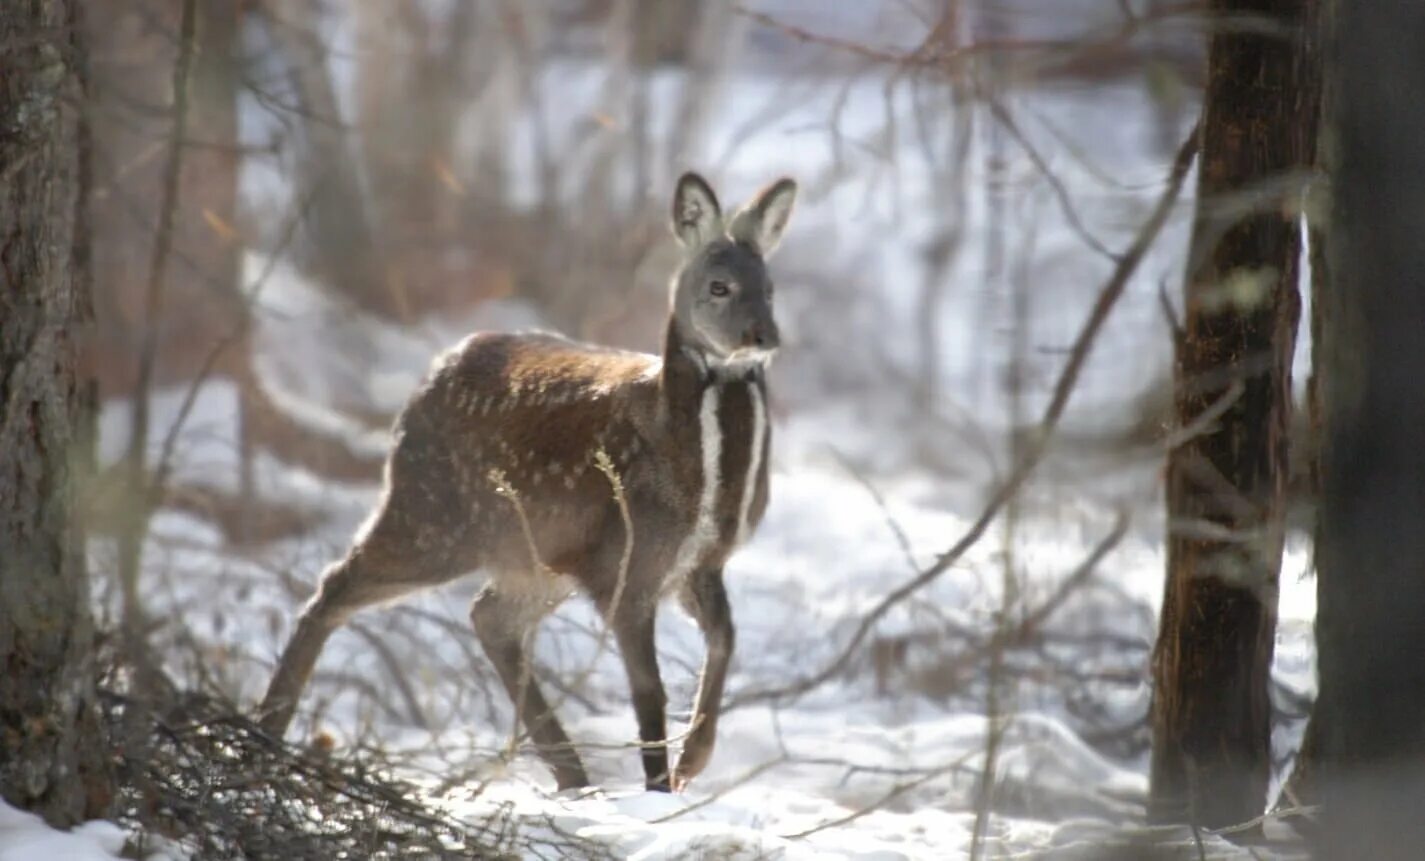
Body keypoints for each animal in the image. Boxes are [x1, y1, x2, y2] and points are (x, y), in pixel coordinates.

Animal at [262, 171, 798, 792]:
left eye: (771, 288)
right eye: (719, 286)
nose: (764, 336)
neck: (700, 484)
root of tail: (427, 381)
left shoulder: (699, 562)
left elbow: (726, 640)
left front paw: (693, 760)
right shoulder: (629, 558)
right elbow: (649, 692)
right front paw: (660, 790)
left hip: (534, 554)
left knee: (488, 616)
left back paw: (574, 777)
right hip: (432, 514)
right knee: (336, 584)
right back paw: (268, 727)